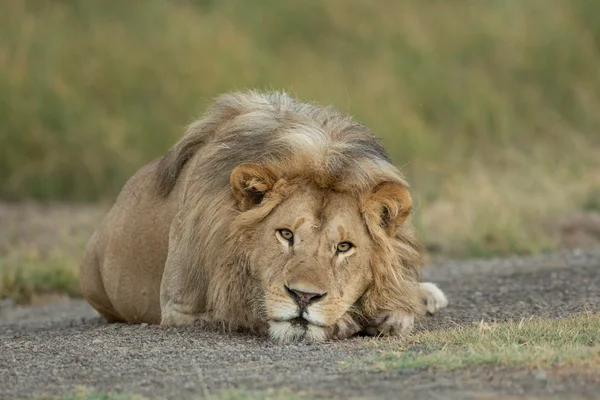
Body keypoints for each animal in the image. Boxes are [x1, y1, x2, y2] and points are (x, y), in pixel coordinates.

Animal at [78, 91, 446, 344]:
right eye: (286, 234)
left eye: (344, 247)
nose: (304, 297)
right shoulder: (179, 307)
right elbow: (246, 308)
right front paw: (350, 321)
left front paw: (395, 311)